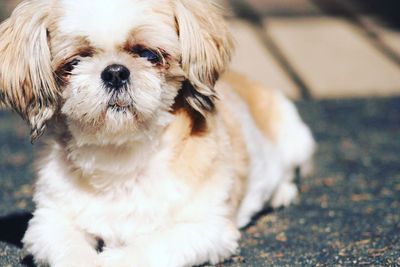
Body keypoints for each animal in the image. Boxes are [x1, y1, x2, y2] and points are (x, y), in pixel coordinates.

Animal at [0, 0, 316, 267]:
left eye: (148, 54)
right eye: (74, 62)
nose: (115, 72)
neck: (121, 159)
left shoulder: (204, 228)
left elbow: (147, 248)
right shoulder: (50, 223)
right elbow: (70, 250)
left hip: (294, 137)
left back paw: (281, 192)